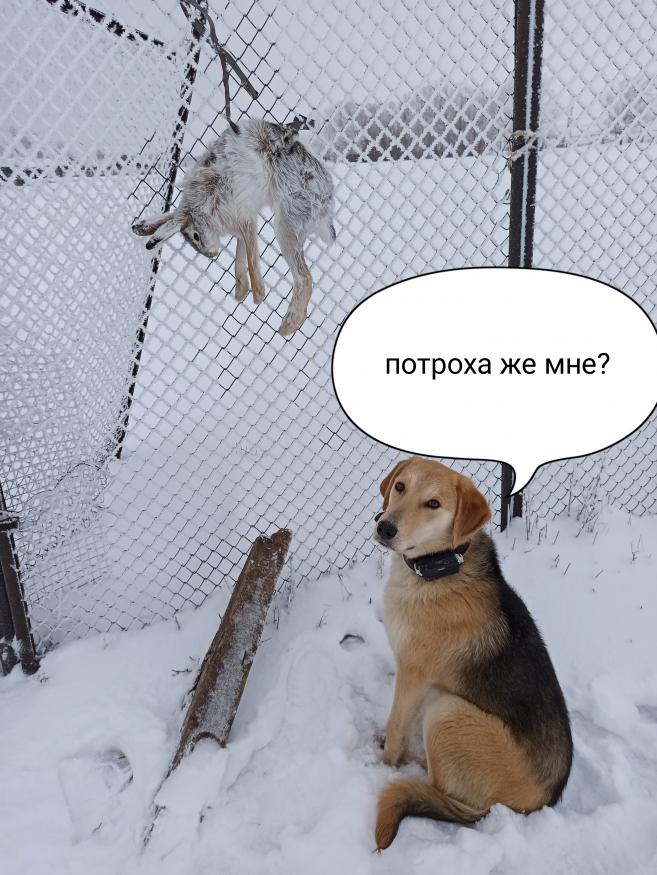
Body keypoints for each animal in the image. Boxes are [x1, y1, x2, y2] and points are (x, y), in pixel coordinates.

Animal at [132, 119, 335, 336]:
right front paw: (241, 292)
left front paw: (258, 294)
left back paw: (287, 325)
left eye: (195, 236)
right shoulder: (241, 228)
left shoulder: (245, 219)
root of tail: (326, 203)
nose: (212, 254)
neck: (206, 203)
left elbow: (252, 260)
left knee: (304, 278)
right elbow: (241, 257)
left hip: (287, 225)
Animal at [373, 457, 572, 849]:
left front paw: (384, 763)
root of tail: (542, 801)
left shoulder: (412, 673)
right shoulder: (420, 681)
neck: (440, 568)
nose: (384, 527)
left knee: (438, 788)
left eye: (433, 504)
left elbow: (398, 726)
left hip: (447, 713)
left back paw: (413, 765)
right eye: (401, 487)